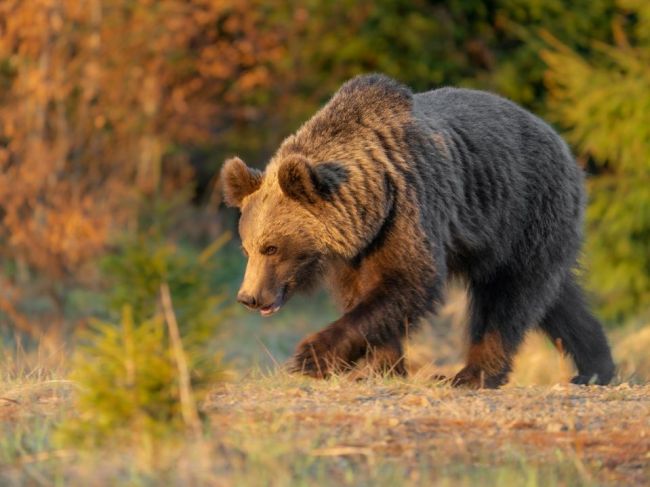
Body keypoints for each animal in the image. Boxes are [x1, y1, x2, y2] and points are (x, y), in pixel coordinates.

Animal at [221, 73, 612, 388]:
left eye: (271, 247)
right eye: (247, 248)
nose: (249, 297)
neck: (372, 200)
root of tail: (563, 144)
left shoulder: (409, 207)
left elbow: (409, 280)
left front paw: (311, 356)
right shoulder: (359, 247)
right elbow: (363, 294)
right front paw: (380, 367)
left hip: (522, 212)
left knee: (506, 298)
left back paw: (472, 374)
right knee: (556, 298)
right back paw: (595, 367)